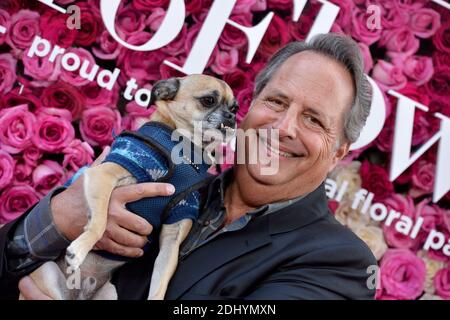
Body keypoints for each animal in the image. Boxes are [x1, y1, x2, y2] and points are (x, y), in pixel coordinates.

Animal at [23, 75, 239, 300]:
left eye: (236, 107)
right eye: (208, 100)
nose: (232, 116)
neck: (186, 154)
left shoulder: (173, 237)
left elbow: (160, 284)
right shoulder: (103, 175)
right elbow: (100, 222)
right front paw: (81, 248)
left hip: (110, 293)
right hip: (47, 272)